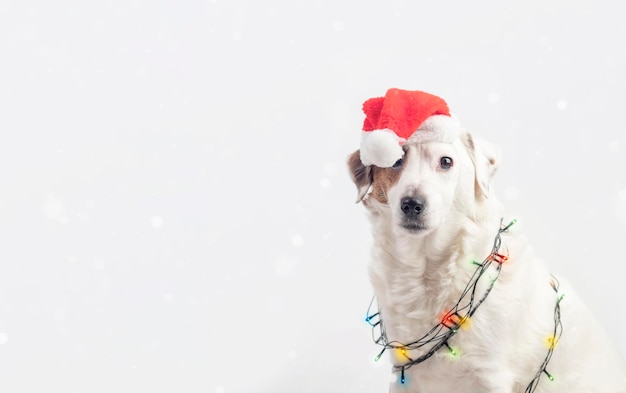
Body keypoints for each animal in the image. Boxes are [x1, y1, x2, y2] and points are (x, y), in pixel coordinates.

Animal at [346, 125, 624, 388]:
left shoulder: (490, 376)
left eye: (446, 161)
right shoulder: (404, 374)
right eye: (395, 161)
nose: (412, 204)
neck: (427, 268)